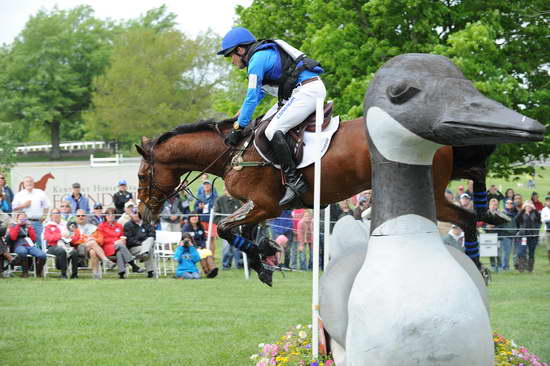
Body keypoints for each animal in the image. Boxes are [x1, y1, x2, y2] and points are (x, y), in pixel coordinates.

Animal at [135, 116, 496, 286]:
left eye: (141, 176)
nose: (142, 214)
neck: (232, 153)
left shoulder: (266, 204)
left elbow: (226, 228)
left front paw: (264, 258)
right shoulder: (261, 208)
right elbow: (245, 233)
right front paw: (264, 258)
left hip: (427, 192)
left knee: (463, 218)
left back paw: (477, 266)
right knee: (470, 199)